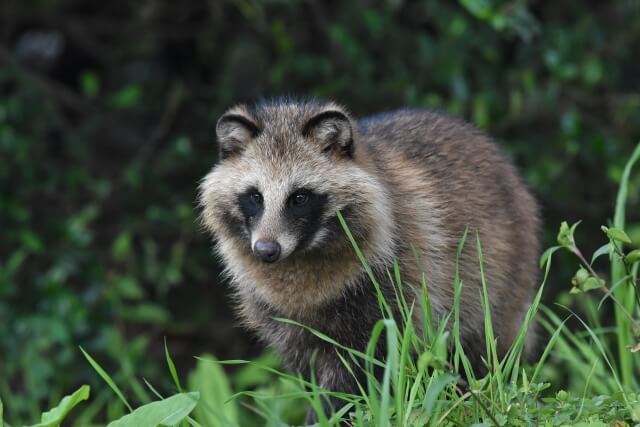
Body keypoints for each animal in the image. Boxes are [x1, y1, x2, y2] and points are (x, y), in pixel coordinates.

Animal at [200, 99, 540, 422]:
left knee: (483, 346)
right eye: (255, 197)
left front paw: (330, 414)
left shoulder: (392, 283)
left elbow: (361, 368)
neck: (301, 255)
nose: (266, 251)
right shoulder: (281, 317)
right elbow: (308, 370)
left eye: (299, 197)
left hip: (502, 275)